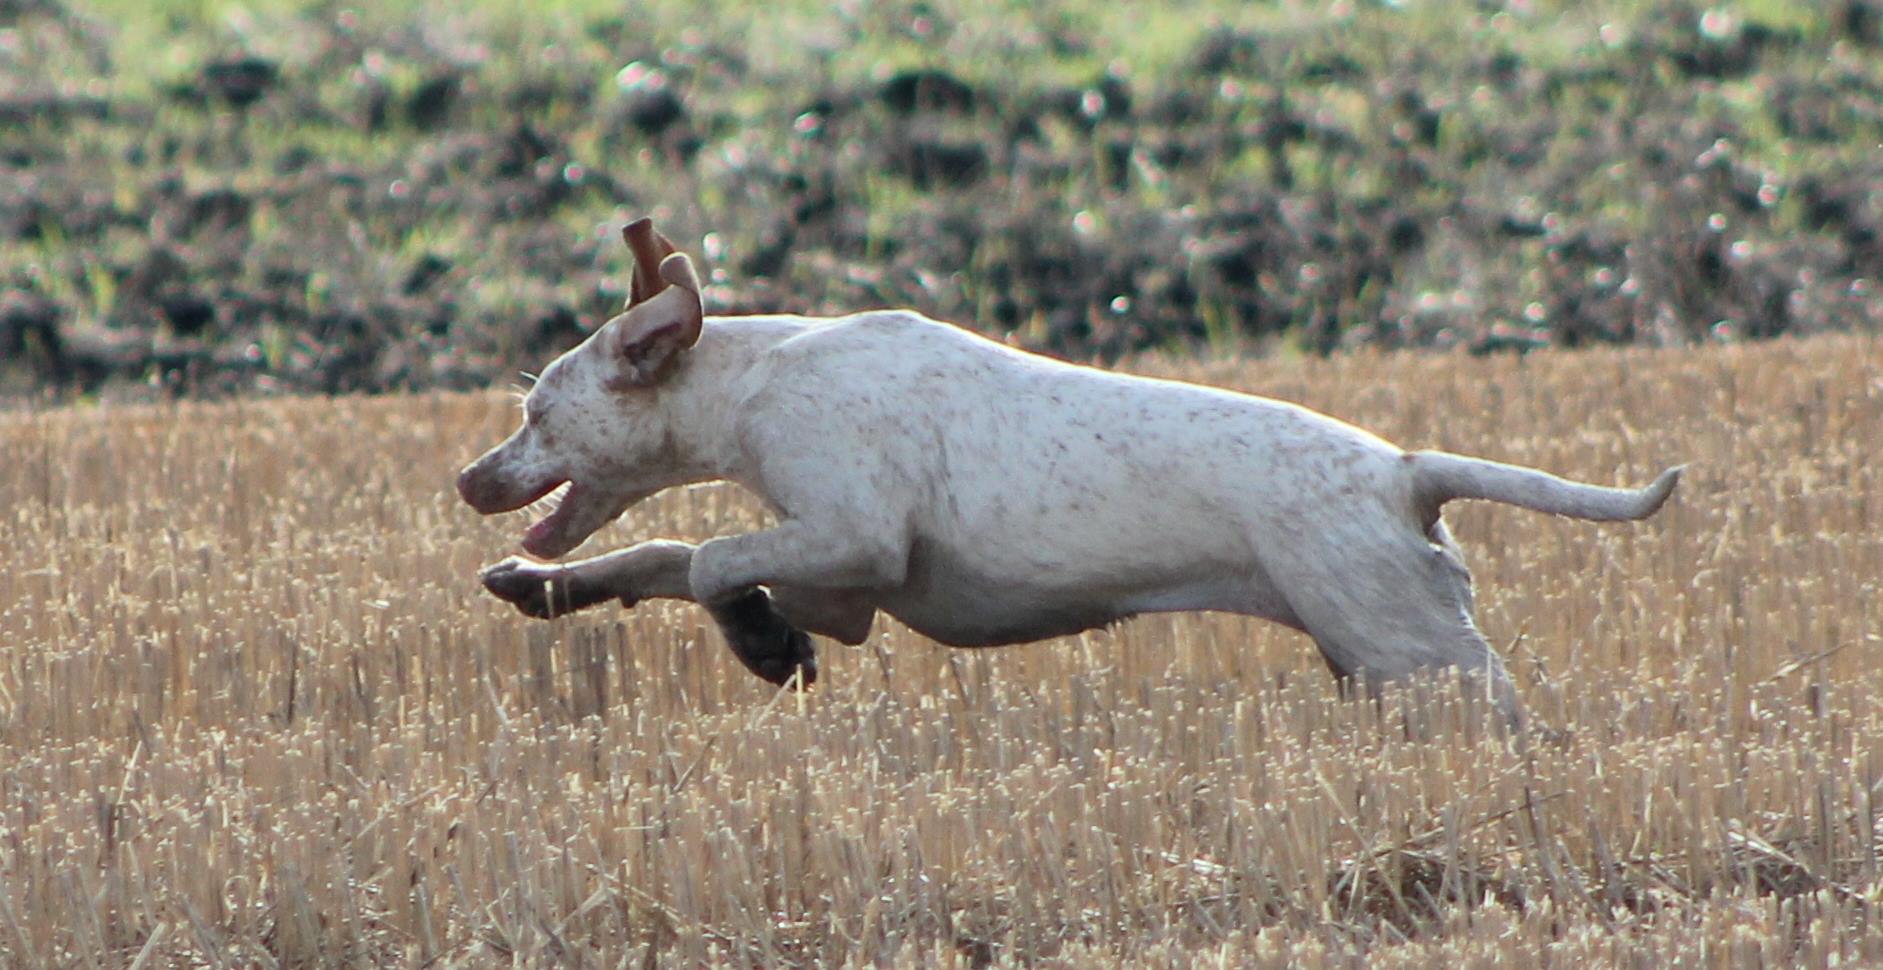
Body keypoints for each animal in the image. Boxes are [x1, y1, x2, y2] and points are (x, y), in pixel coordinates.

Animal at [463, 218, 1687, 719]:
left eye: (537, 411)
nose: (471, 479)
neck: (757, 374)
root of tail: (1402, 470)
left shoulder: (856, 537)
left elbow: (714, 557)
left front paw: (762, 645)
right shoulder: (841, 583)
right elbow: (670, 554)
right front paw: (551, 587)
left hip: (1416, 655)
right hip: (1378, 654)